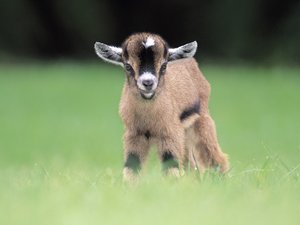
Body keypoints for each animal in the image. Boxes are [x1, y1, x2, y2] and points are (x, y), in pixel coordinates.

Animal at [95, 32, 229, 180]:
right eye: (127, 66)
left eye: (164, 65)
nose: (148, 83)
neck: (148, 118)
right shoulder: (135, 134)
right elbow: (132, 165)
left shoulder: (169, 133)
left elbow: (171, 166)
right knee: (191, 165)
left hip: (201, 121)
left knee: (216, 157)